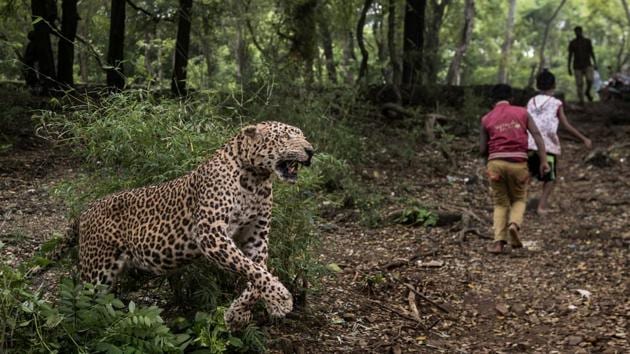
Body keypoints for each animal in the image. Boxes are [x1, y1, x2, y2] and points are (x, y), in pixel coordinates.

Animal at [60, 121, 314, 330]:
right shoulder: (210, 233)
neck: (255, 180)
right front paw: (282, 298)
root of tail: (84, 212)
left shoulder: (256, 238)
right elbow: (253, 270)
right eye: (286, 137)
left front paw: (238, 314)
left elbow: (257, 275)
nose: (311, 151)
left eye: (302, 135)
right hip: (97, 270)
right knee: (81, 304)